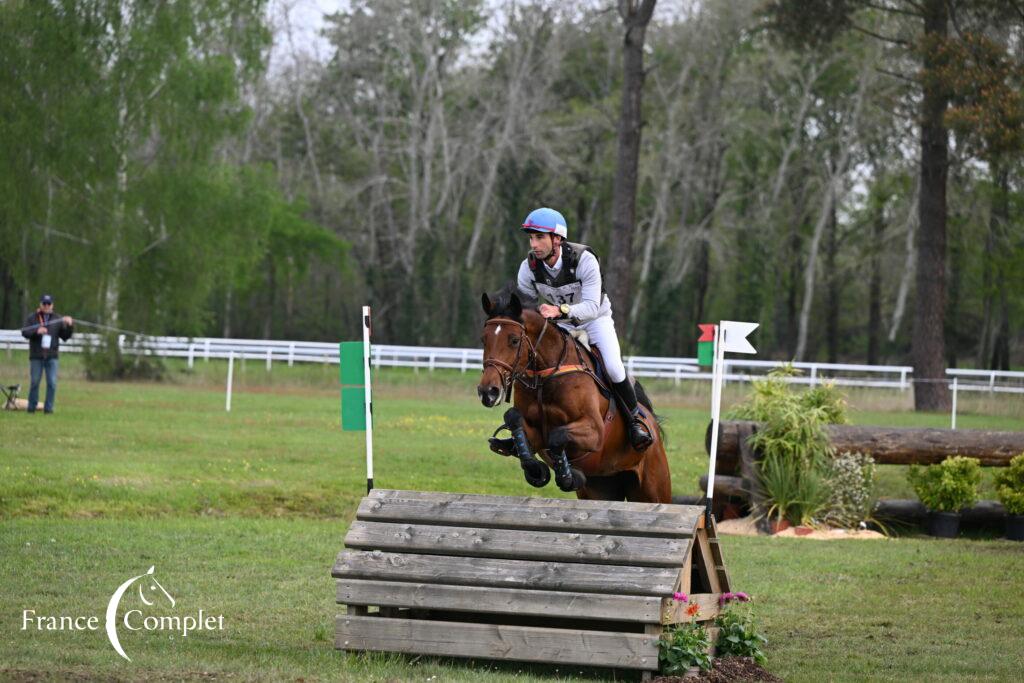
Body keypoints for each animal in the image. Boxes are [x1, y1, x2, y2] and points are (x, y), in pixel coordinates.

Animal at [477, 286, 671, 505]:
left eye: (514, 340)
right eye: (484, 339)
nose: (488, 392)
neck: (546, 376)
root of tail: (653, 426)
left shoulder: (595, 432)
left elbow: (557, 436)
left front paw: (568, 477)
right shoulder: (536, 434)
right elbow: (514, 419)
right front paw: (535, 470)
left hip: (653, 490)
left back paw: (638, 432)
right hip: (603, 487)